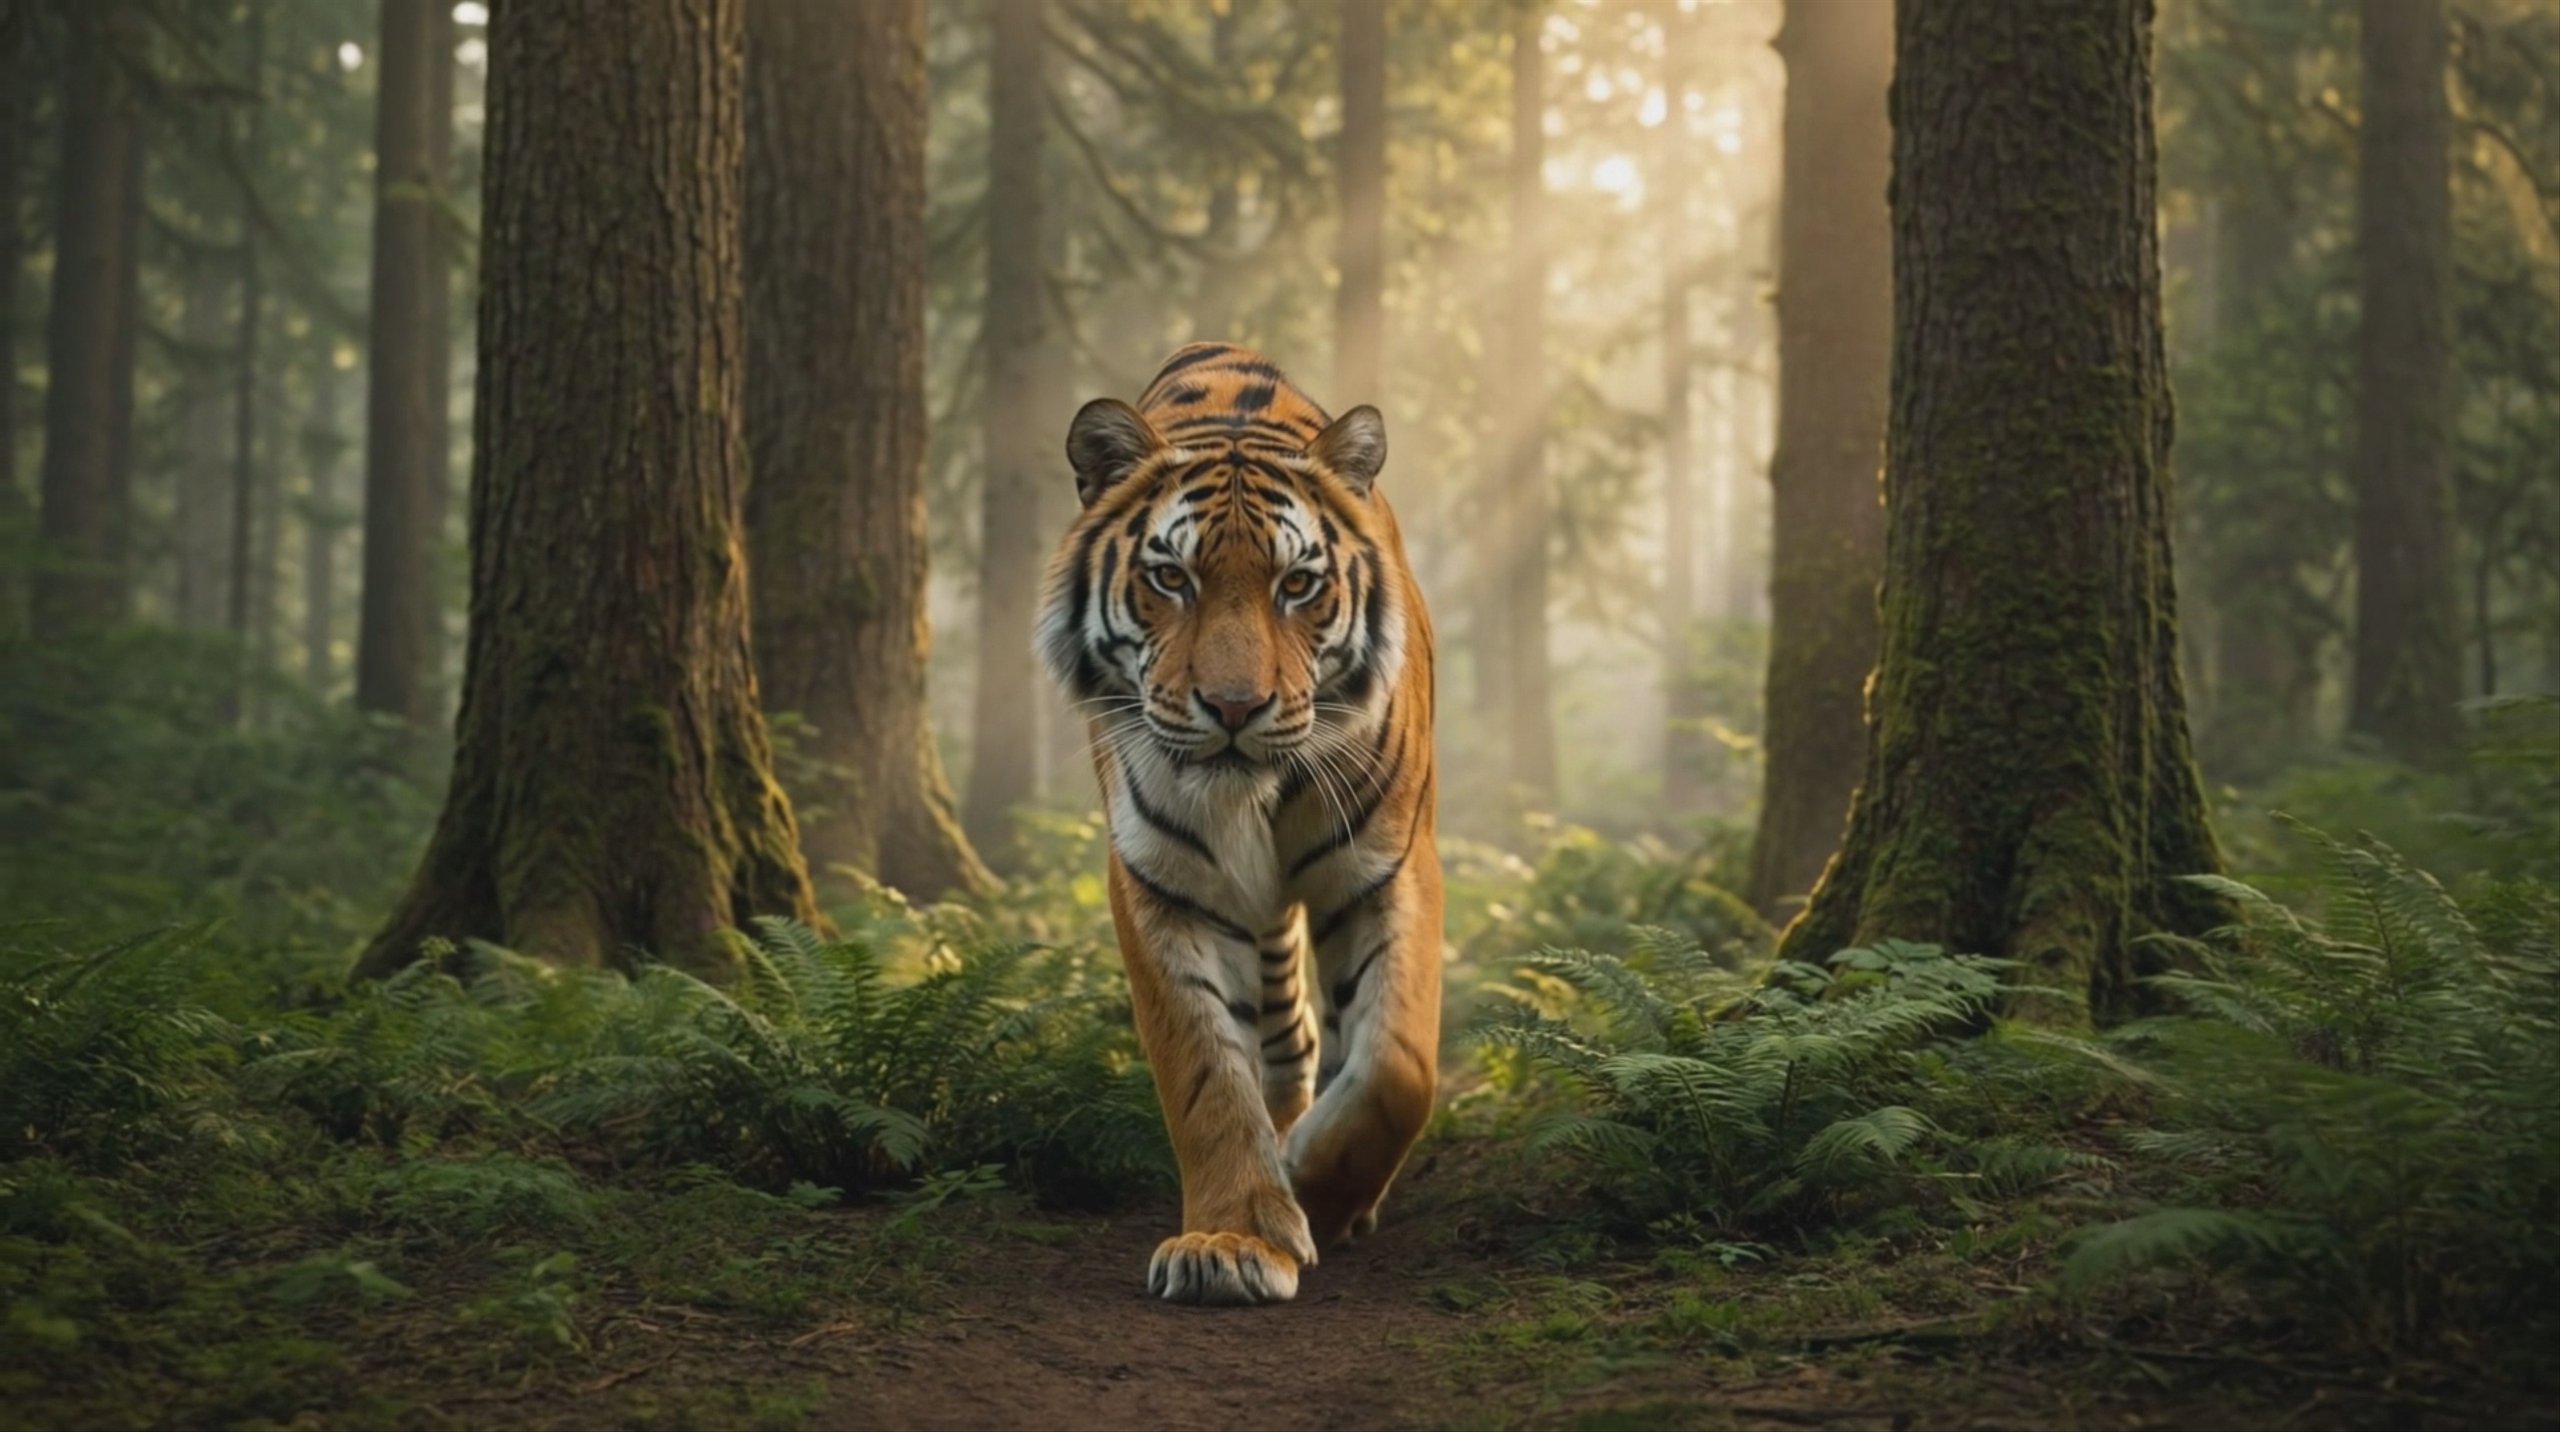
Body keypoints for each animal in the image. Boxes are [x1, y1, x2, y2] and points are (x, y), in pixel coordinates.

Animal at [1035, 341, 1441, 1306]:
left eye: (1297, 585)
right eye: (1170, 578)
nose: (1232, 707)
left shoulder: (1389, 866)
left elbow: (1397, 1067)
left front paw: (1318, 1192)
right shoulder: (1163, 884)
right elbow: (1205, 1073)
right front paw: (1236, 1239)